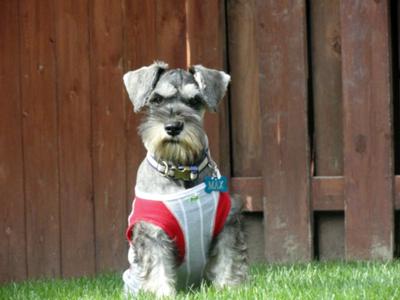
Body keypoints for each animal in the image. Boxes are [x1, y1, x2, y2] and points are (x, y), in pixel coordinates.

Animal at [122, 61, 247, 298]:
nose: (173, 127)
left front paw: (228, 289)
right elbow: (157, 268)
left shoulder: (227, 224)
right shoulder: (152, 232)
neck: (181, 169)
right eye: (156, 99)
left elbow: (228, 260)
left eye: (195, 101)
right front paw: (162, 293)